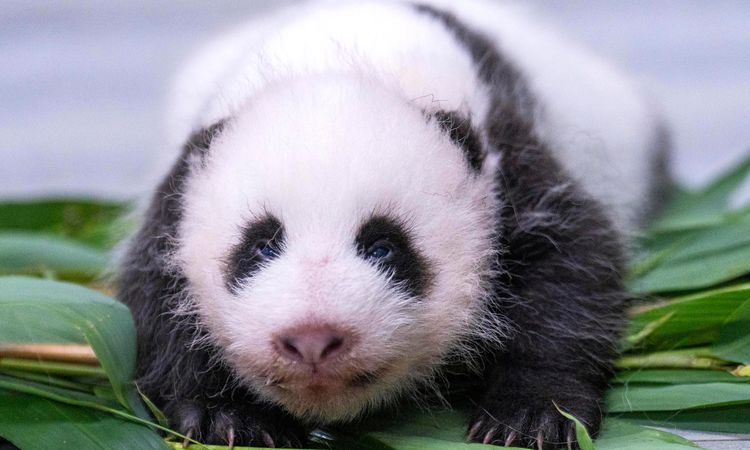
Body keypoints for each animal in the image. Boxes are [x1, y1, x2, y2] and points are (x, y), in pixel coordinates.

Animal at [118, 1, 670, 448]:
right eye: (260, 247)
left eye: (384, 246)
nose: (313, 339)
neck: (344, 58)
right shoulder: (180, 188)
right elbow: (155, 298)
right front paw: (226, 418)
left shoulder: (507, 163)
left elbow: (568, 265)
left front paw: (533, 416)